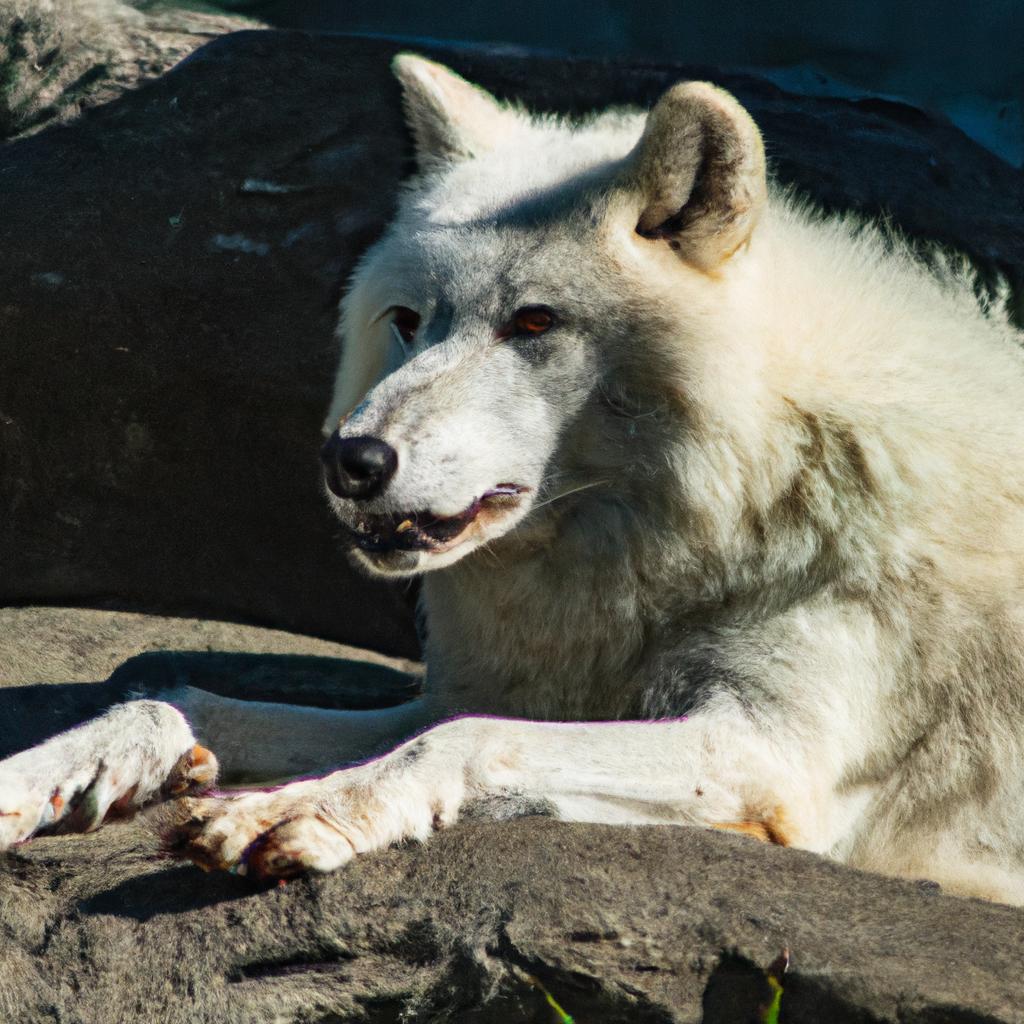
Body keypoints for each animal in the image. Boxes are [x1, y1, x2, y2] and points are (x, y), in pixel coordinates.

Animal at [3, 54, 1024, 904]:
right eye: (408, 320)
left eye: (533, 323)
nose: (351, 459)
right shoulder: (476, 690)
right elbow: (180, 699)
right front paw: (39, 774)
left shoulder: (767, 759)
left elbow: (471, 737)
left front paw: (295, 811)